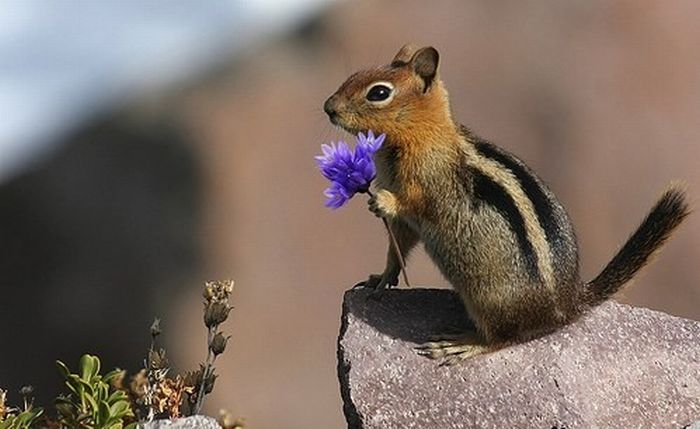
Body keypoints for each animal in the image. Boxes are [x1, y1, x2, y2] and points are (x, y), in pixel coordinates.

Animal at [324, 45, 688, 362]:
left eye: (378, 93)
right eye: (354, 75)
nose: (328, 107)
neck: (424, 135)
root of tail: (569, 304)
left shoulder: (429, 185)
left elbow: (415, 204)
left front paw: (382, 202)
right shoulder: (405, 226)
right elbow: (397, 247)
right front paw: (381, 278)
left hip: (489, 301)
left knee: (504, 338)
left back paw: (463, 345)